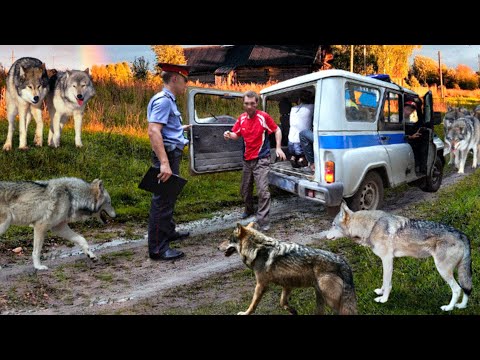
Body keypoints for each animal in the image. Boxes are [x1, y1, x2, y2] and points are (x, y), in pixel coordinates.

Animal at [219, 222, 358, 316]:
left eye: (228, 239)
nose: (217, 247)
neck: (257, 249)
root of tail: (343, 262)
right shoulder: (287, 285)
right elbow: (282, 303)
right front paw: (293, 311)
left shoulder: (261, 285)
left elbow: (253, 305)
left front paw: (245, 313)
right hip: (321, 297)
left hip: (330, 299)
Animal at [320, 201, 474, 310]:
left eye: (333, 225)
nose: (325, 236)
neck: (370, 227)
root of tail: (463, 235)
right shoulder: (386, 260)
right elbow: (384, 282)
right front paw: (381, 292)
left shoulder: (387, 259)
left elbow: (387, 281)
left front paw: (383, 299)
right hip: (458, 270)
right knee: (465, 288)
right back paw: (461, 306)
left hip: (442, 270)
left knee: (457, 289)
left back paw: (449, 308)